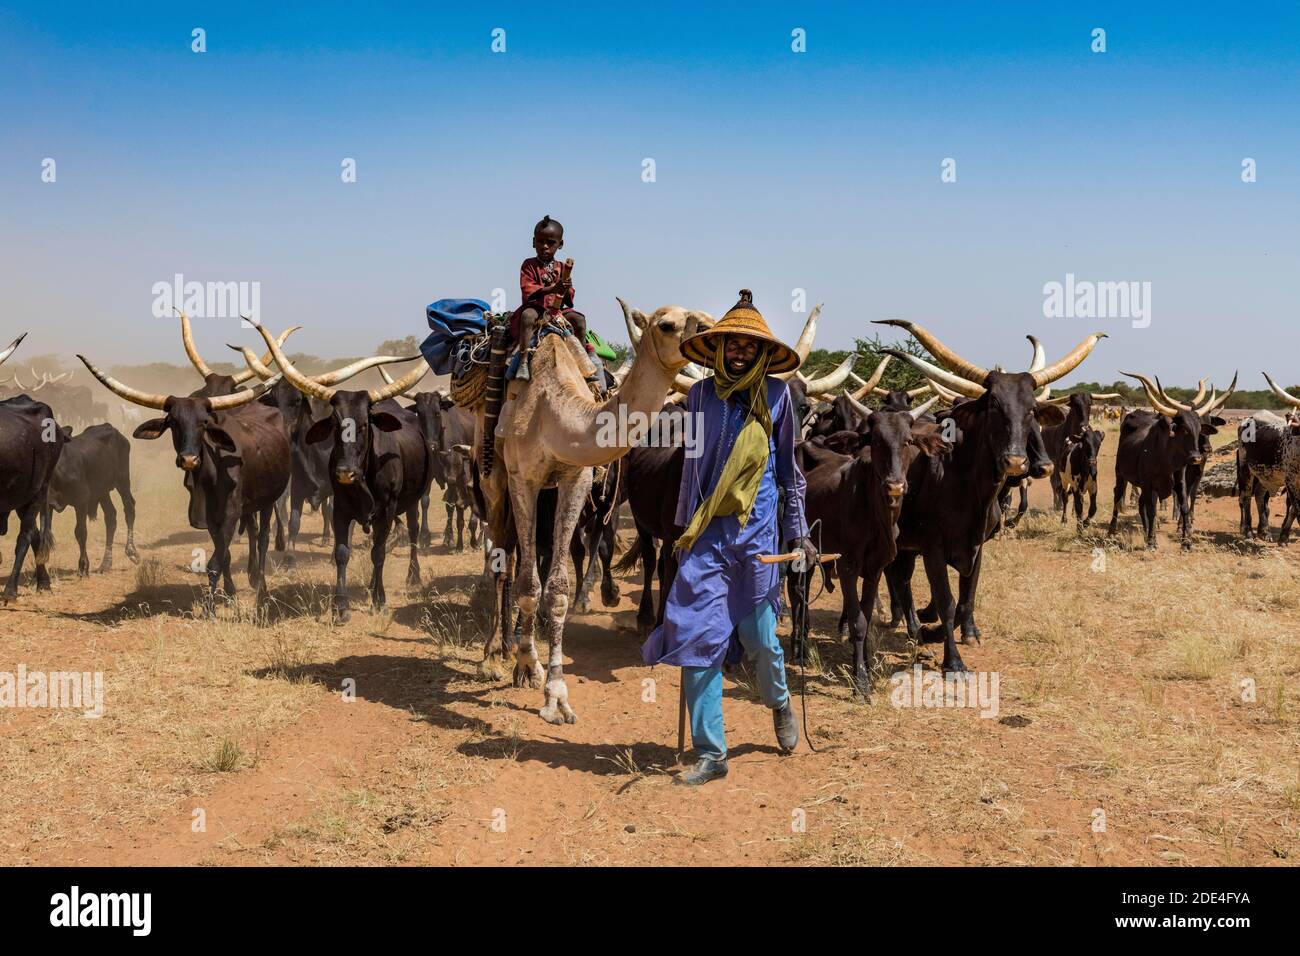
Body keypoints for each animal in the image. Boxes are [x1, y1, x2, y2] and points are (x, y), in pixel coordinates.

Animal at [48, 426, 138, 574]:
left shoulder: (81, 501)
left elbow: (80, 532)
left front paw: (83, 566)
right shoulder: (46, 505)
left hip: (123, 480)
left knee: (129, 508)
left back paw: (131, 551)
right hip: (102, 491)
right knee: (111, 517)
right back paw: (106, 563)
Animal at [480, 299, 712, 723]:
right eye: (666, 325)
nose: (708, 329)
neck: (552, 411)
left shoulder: (576, 477)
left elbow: (555, 588)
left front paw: (554, 693)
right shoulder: (523, 478)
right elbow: (528, 583)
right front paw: (528, 667)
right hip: (493, 475)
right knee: (502, 557)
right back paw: (493, 654)